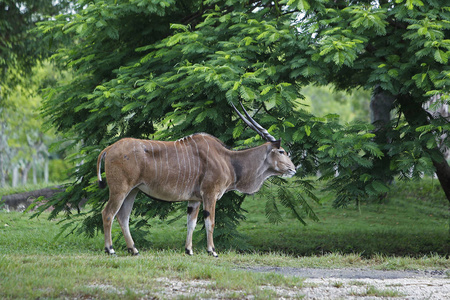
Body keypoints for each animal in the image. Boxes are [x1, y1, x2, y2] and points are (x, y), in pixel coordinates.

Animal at [96, 102, 298, 255]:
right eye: (281, 151)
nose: (293, 169)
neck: (228, 159)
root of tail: (109, 148)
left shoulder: (194, 199)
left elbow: (191, 223)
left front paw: (189, 250)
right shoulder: (210, 194)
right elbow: (210, 222)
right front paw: (212, 251)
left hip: (133, 191)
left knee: (123, 216)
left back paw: (134, 250)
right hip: (120, 190)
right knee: (108, 213)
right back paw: (110, 249)